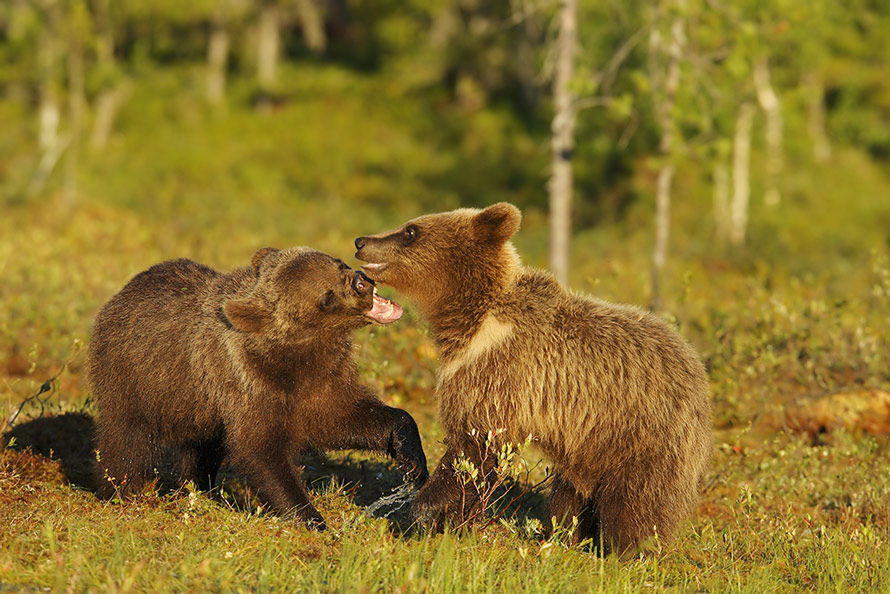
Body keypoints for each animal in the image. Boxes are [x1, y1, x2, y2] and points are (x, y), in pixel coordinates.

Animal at [89, 245, 426, 528]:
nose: (361, 282)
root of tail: (123, 292)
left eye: (339, 263)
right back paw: (120, 491)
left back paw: (201, 489)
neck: (297, 355)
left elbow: (346, 417)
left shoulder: (325, 377)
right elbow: (261, 449)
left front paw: (412, 460)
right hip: (137, 378)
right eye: (326, 297)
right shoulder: (251, 382)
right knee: (128, 440)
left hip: (201, 405)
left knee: (202, 448)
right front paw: (311, 518)